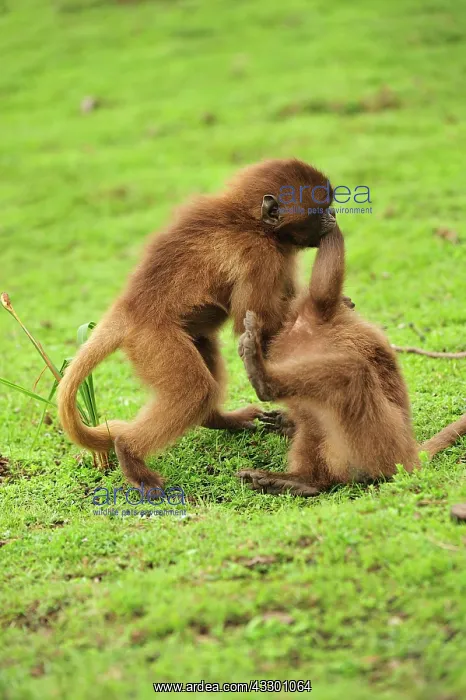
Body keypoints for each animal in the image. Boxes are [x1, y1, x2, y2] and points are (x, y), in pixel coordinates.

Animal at [58, 158, 338, 488]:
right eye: (321, 209)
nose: (334, 215)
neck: (252, 222)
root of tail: (129, 309)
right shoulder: (260, 256)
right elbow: (255, 324)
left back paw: (219, 419)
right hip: (151, 340)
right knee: (195, 391)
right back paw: (128, 452)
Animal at [237, 215, 466, 496]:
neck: (295, 327)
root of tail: (410, 455)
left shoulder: (316, 307)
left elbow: (326, 278)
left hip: (385, 444)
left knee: (352, 373)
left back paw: (265, 380)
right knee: (314, 420)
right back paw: (305, 481)